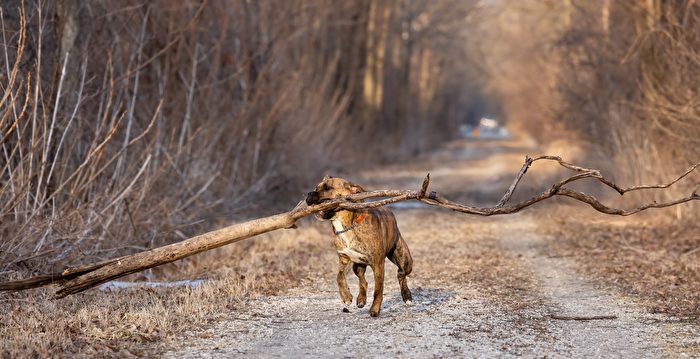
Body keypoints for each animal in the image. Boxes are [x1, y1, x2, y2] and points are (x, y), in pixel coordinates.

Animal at [304, 176, 412, 316]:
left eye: (327, 188)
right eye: (316, 188)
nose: (309, 193)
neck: (347, 225)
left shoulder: (378, 264)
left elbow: (378, 289)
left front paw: (375, 309)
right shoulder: (344, 259)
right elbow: (339, 277)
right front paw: (346, 296)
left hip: (405, 260)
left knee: (401, 274)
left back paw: (407, 296)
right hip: (357, 265)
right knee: (363, 280)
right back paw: (361, 299)